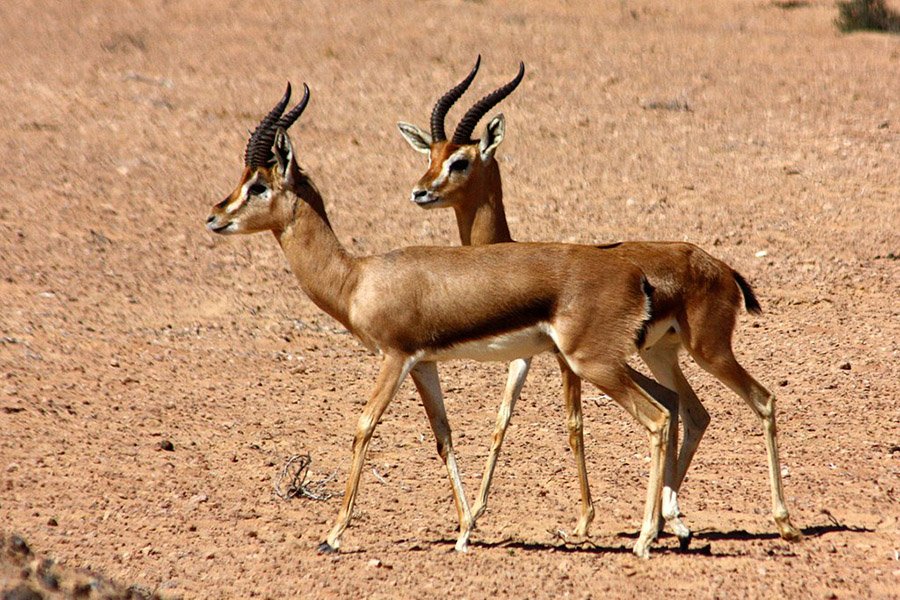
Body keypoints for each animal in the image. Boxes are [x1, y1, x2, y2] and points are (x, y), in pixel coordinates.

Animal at [205, 83, 681, 558]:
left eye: (258, 184)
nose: (214, 216)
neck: (358, 278)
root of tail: (635, 274)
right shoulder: (424, 364)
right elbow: (443, 435)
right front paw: (466, 529)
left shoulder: (395, 358)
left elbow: (364, 426)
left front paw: (333, 535)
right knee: (671, 406)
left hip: (593, 363)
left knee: (658, 418)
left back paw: (646, 538)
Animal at [398, 57, 802, 546]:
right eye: (430, 155)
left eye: (460, 161)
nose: (420, 191)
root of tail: (717, 264)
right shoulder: (524, 358)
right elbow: (501, 422)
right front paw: (473, 515)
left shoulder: (562, 360)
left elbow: (574, 426)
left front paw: (582, 520)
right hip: (661, 353)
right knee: (692, 410)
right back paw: (673, 522)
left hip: (708, 351)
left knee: (760, 400)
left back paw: (781, 521)